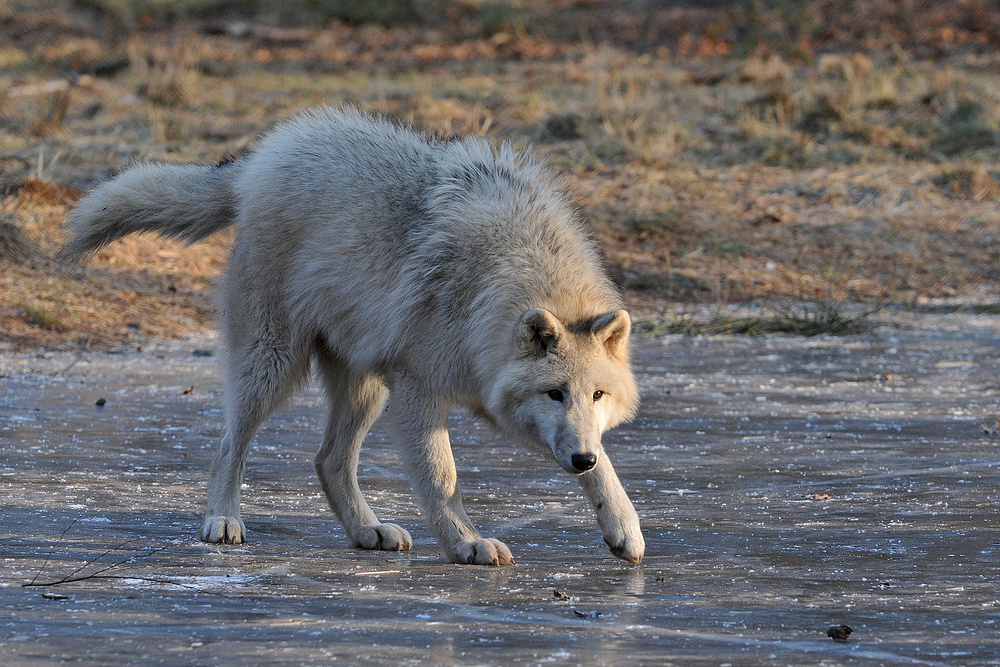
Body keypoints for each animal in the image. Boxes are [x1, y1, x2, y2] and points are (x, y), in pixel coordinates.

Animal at [60, 107, 640, 568]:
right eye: (553, 393)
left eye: (597, 395)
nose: (580, 460)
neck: (502, 273)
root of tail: (265, 154)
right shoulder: (419, 393)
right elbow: (442, 478)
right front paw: (467, 545)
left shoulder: (511, 411)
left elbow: (607, 464)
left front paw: (623, 527)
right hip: (274, 367)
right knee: (230, 442)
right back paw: (222, 520)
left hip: (365, 387)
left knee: (328, 460)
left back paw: (368, 530)